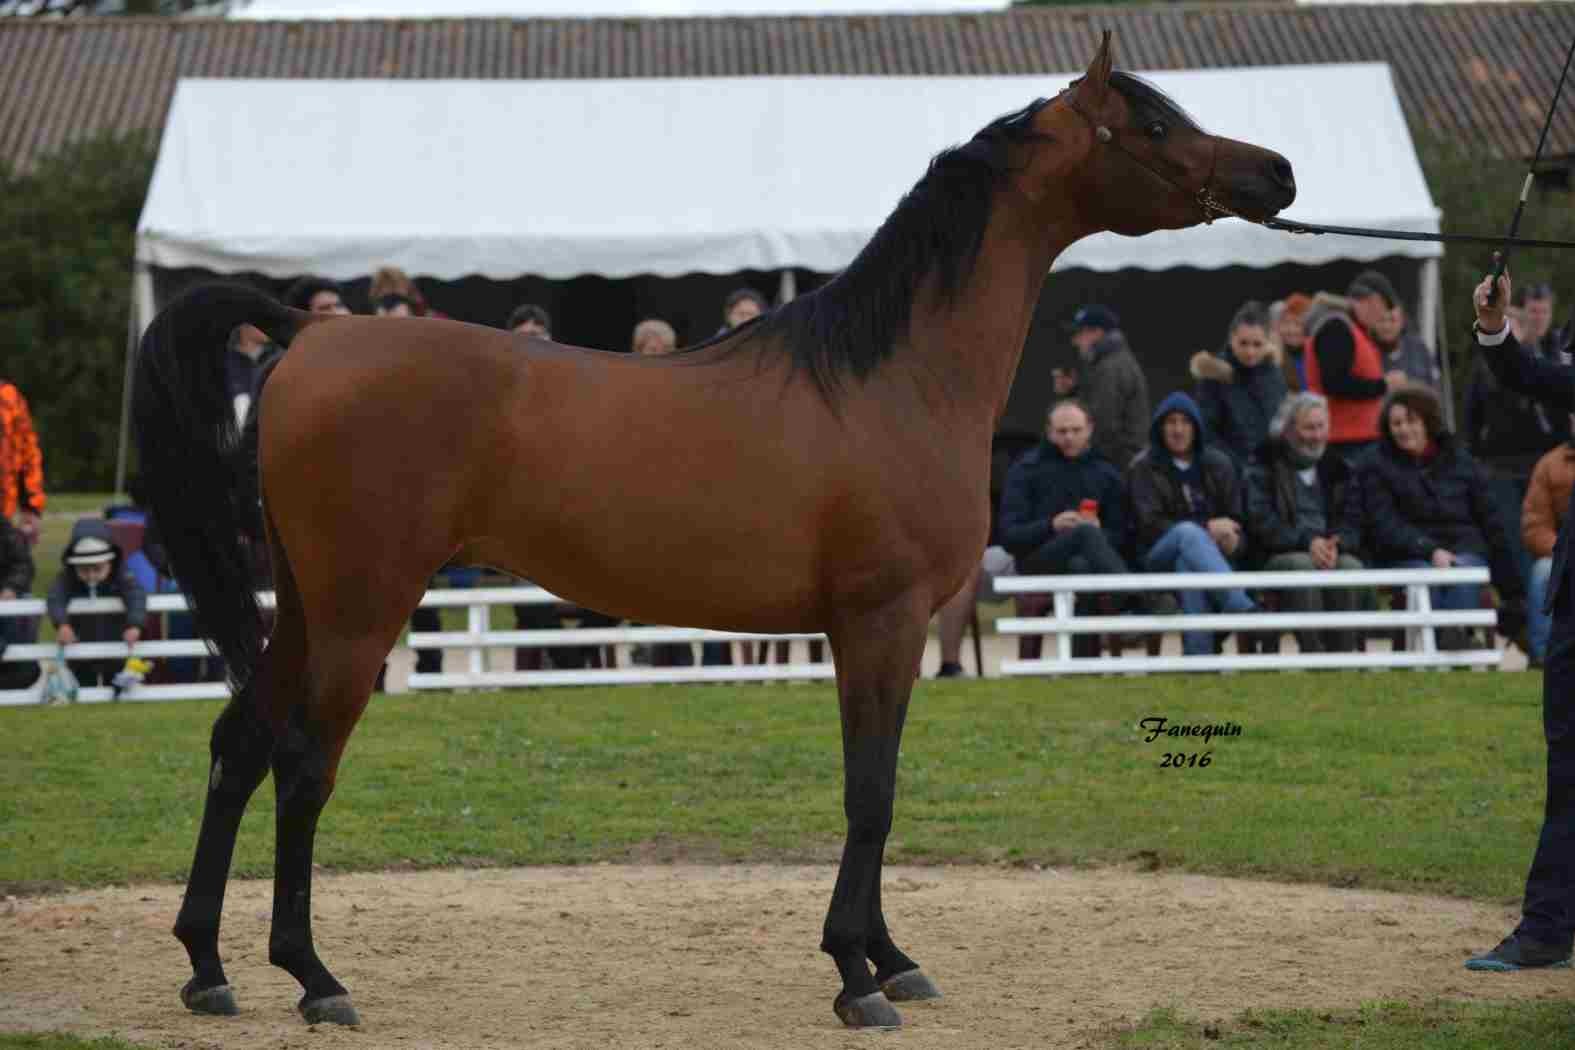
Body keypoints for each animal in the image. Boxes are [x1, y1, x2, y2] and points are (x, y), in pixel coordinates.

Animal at [132, 34, 1291, 1032]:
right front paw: (854, 976)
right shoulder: (878, 622)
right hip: (362, 607)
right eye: (1150, 122)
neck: (891, 378)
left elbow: (880, 785)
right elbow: (870, 794)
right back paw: (314, 978)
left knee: (237, 743)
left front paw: (892, 960)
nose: (1275, 173)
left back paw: (206, 967)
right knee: (301, 766)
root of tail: (310, 331)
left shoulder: (890, 633)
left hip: (304, 599)